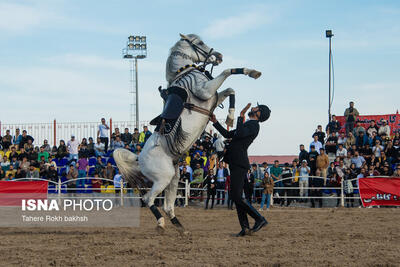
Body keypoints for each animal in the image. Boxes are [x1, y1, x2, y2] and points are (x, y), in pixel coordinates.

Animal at [114, 33, 260, 233]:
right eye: (200, 43)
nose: (219, 56)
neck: (187, 73)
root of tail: (139, 158)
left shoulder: (212, 98)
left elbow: (230, 90)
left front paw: (231, 116)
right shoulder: (206, 91)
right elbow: (227, 73)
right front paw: (250, 73)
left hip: (173, 179)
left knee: (168, 206)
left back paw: (181, 227)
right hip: (163, 178)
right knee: (148, 199)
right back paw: (161, 224)